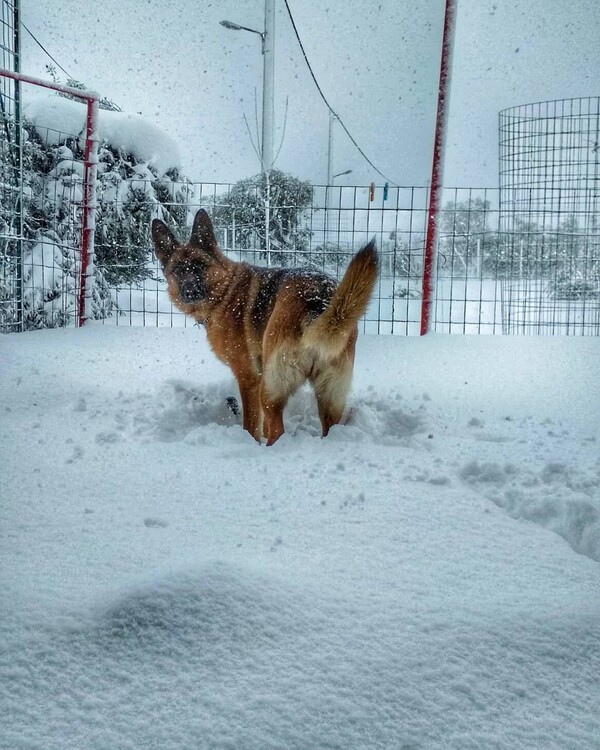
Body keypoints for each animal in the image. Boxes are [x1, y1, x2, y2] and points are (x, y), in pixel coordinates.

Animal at [152, 210, 378, 446]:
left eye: (200, 266)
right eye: (178, 271)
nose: (190, 291)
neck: (225, 292)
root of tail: (317, 300)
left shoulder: (249, 378)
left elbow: (251, 424)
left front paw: (250, 441)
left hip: (270, 388)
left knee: (277, 430)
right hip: (329, 396)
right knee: (327, 429)